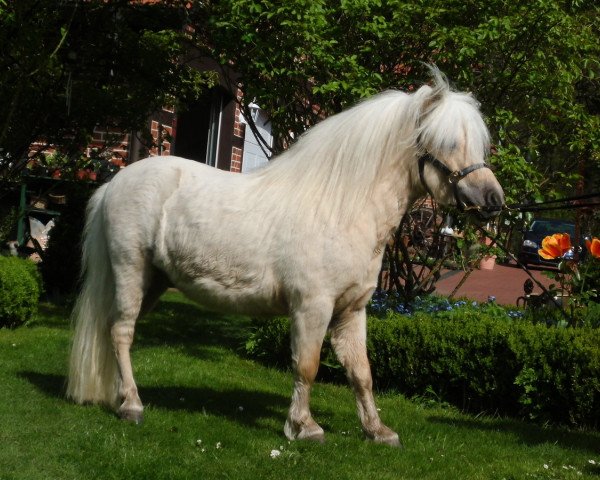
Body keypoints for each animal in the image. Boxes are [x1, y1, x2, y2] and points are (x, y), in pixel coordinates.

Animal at [68, 69, 504, 448]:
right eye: (448, 142)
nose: (493, 200)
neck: (341, 207)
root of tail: (114, 183)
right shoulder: (313, 307)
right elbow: (307, 366)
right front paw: (304, 427)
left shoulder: (352, 310)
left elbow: (361, 372)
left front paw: (377, 431)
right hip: (130, 271)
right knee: (121, 332)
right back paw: (132, 405)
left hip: (155, 281)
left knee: (115, 330)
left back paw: (119, 397)